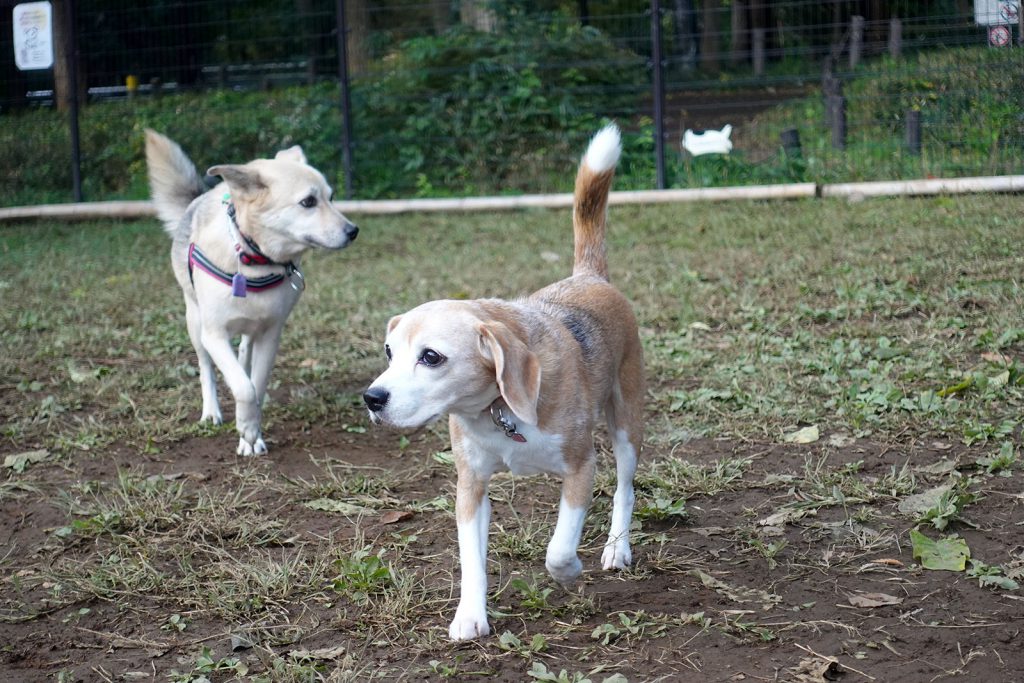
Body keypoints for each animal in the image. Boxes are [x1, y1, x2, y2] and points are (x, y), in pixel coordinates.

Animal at [145, 131, 356, 456]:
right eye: (308, 202)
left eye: (330, 198)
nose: (353, 231)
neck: (253, 259)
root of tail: (198, 199)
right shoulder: (214, 334)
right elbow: (244, 388)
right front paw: (246, 428)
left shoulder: (270, 334)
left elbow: (255, 384)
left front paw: (251, 433)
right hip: (194, 322)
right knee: (207, 368)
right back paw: (212, 410)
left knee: (244, 355)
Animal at [364, 126, 643, 643]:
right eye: (390, 353)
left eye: (431, 357)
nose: (372, 399)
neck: (497, 409)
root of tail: (587, 276)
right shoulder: (470, 485)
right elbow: (471, 560)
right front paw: (470, 615)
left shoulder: (580, 467)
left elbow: (558, 549)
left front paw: (570, 571)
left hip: (626, 425)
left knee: (625, 489)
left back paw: (617, 547)